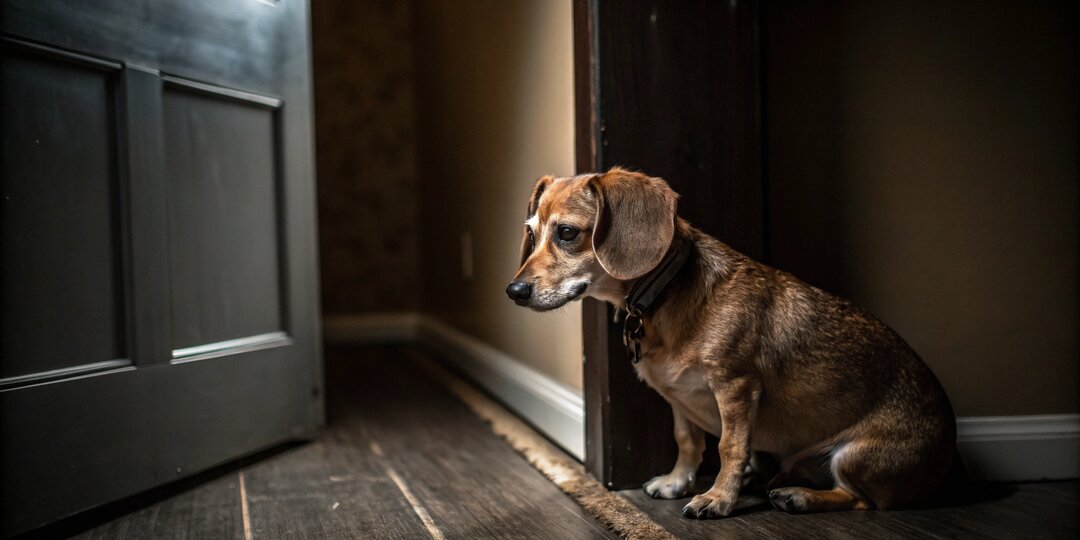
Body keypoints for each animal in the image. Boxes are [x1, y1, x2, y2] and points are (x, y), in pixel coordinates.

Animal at [501, 167, 959, 518]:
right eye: (531, 233)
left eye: (566, 233)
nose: (514, 291)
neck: (665, 296)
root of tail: (949, 456)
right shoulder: (679, 398)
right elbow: (688, 442)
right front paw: (676, 483)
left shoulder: (736, 388)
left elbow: (729, 448)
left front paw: (718, 500)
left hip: (855, 457)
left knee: (863, 500)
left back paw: (799, 497)